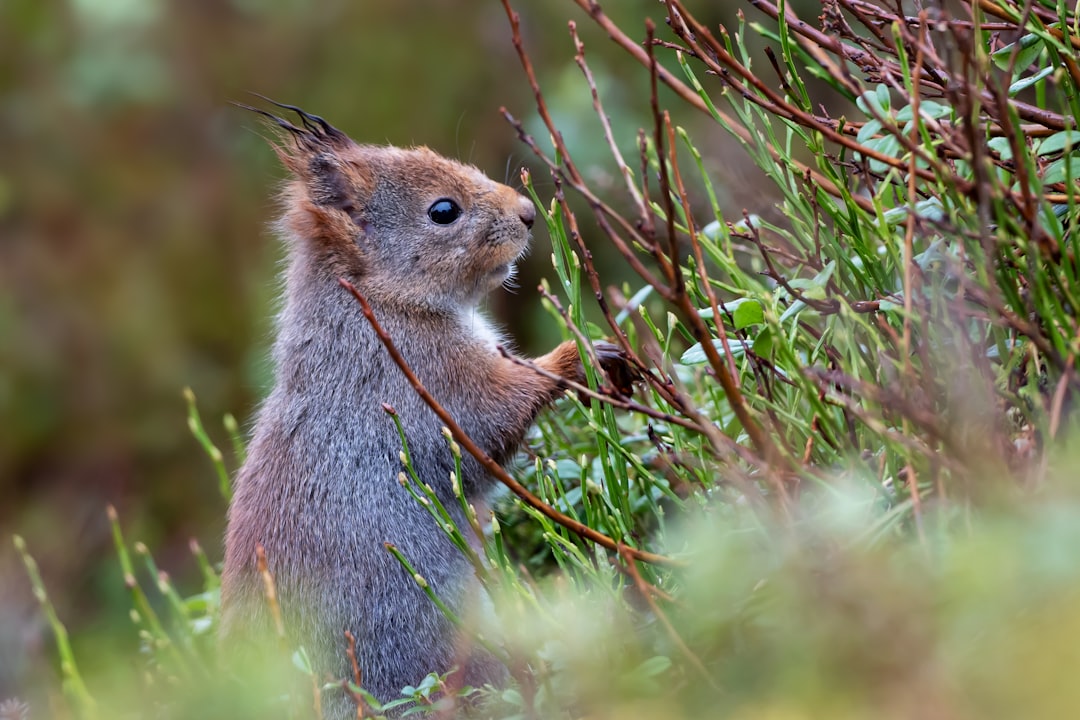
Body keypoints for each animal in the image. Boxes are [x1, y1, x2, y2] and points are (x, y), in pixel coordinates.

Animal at [219, 102, 626, 720]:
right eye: (443, 211)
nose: (529, 213)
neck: (378, 304)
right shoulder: (429, 381)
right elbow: (492, 422)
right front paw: (575, 356)